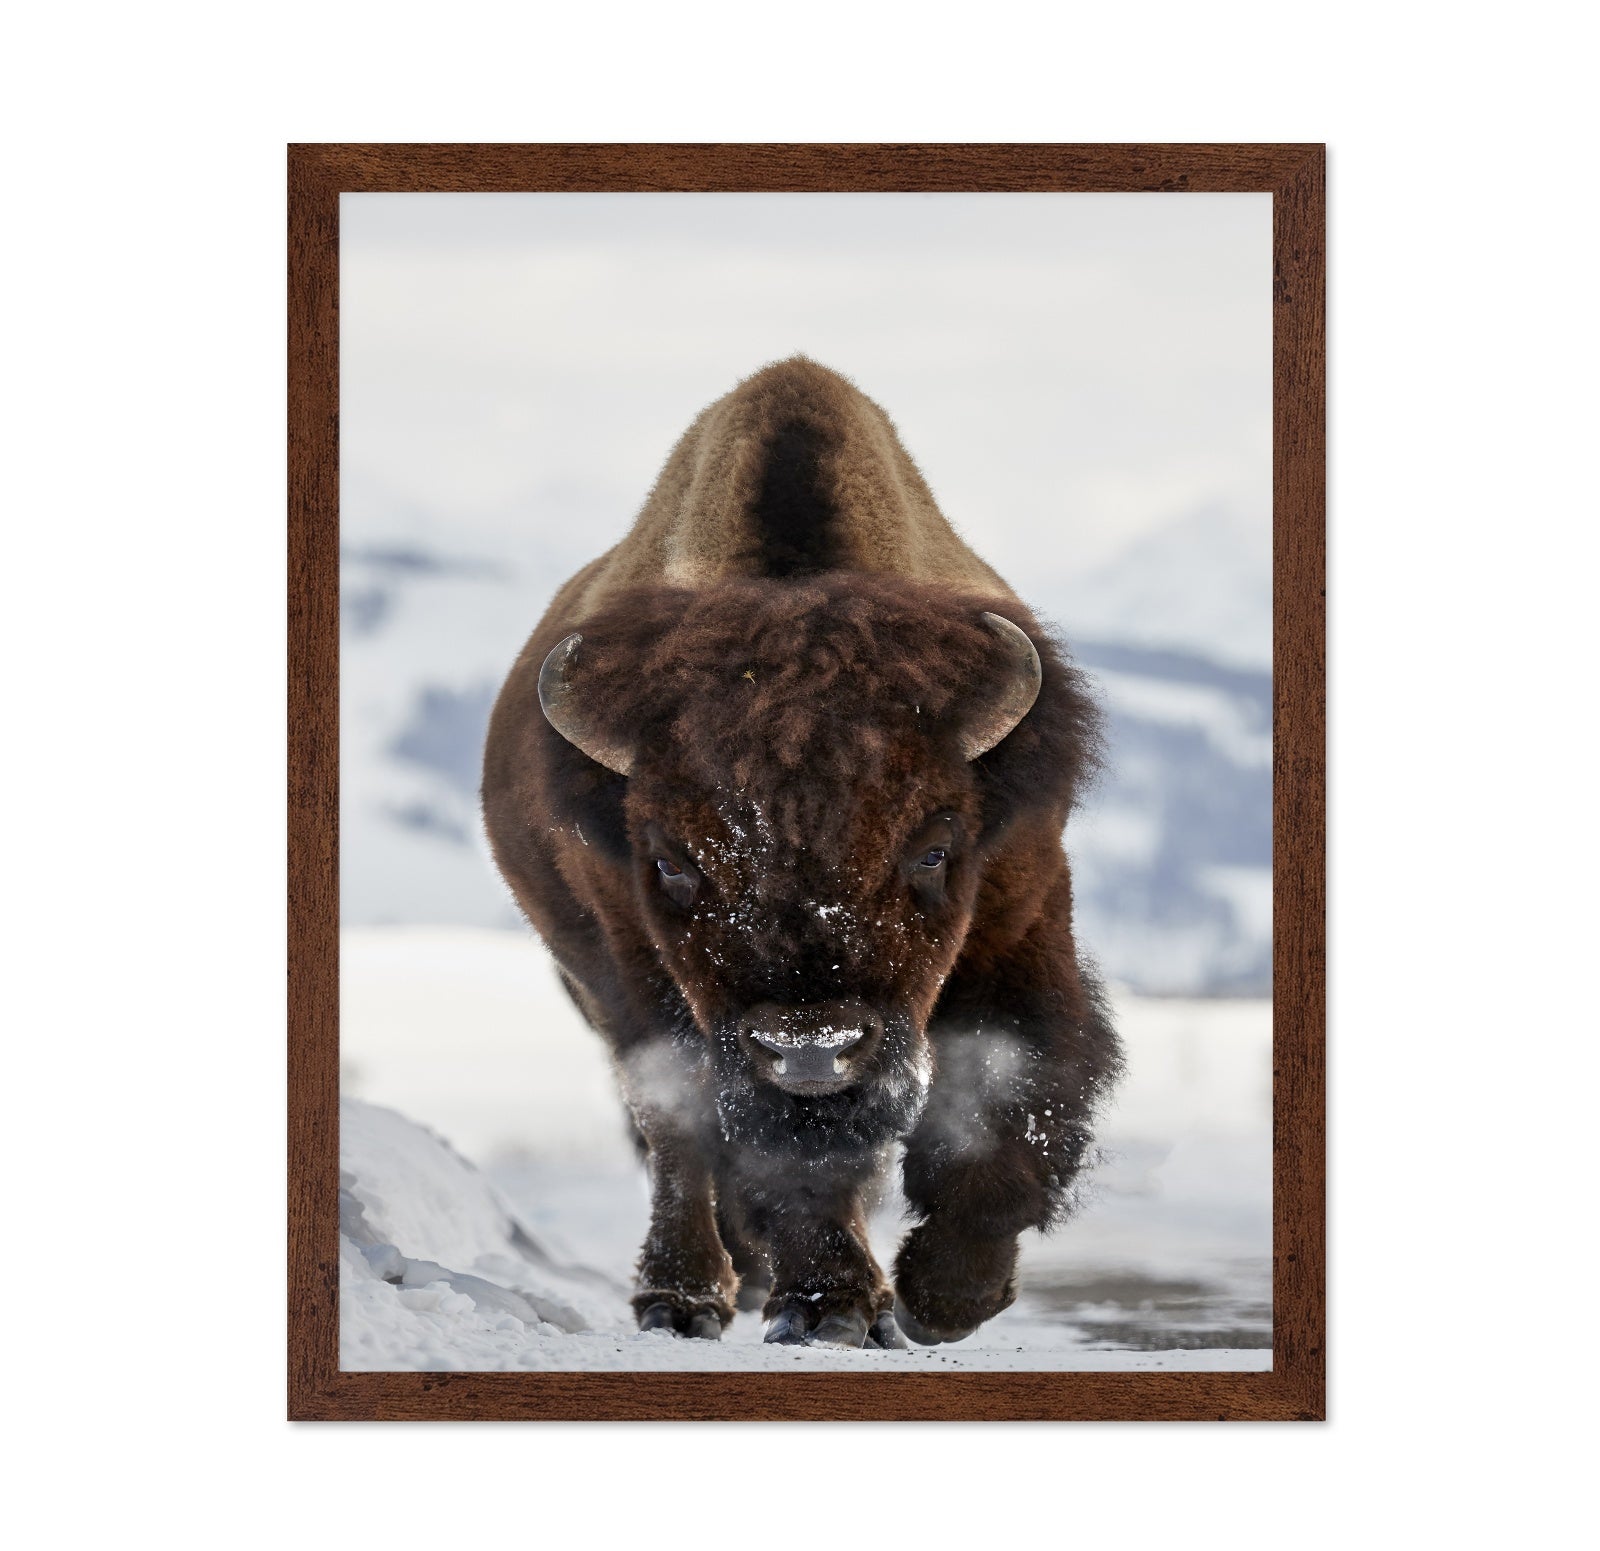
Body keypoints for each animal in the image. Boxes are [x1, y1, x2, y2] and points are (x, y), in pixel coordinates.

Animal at [482, 358, 1122, 1348]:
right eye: (671, 861)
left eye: (936, 848)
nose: (812, 1050)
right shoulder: (643, 969)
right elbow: (756, 1148)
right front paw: (830, 1306)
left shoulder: (1020, 913)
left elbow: (1011, 1086)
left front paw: (945, 1297)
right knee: (676, 1133)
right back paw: (687, 1296)